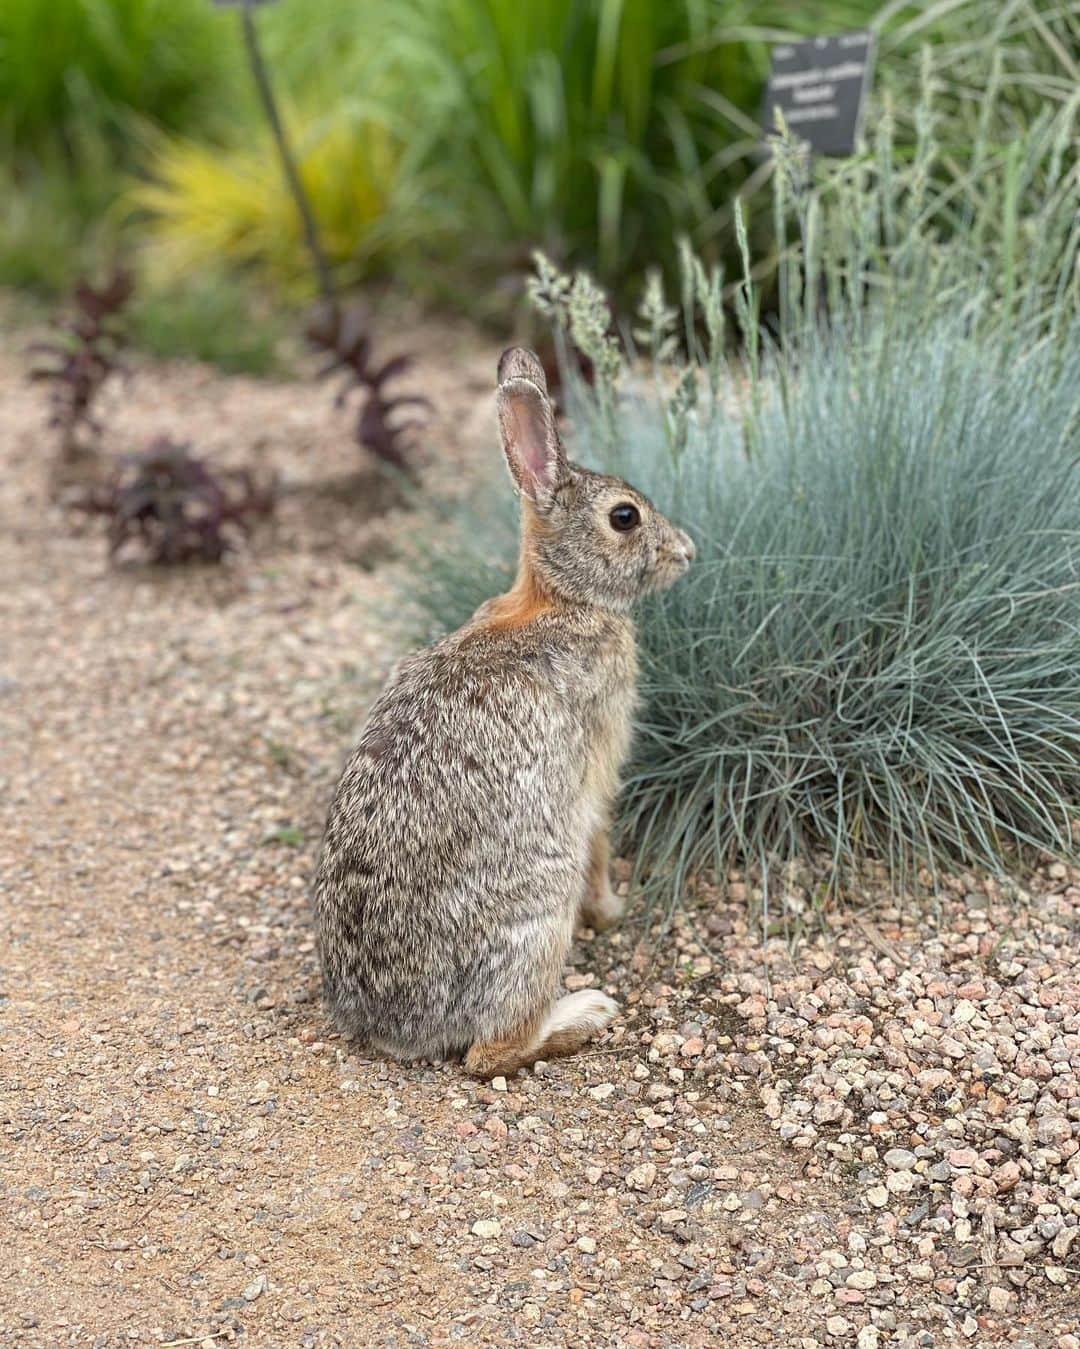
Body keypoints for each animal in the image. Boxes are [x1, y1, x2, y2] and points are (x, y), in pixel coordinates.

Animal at [307, 345, 695, 1073]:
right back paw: (585, 1012)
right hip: (538, 911)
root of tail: (393, 1027)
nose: (686, 552)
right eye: (624, 517)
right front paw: (613, 910)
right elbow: (601, 833)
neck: (560, 600)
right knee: (489, 1052)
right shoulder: (596, 763)